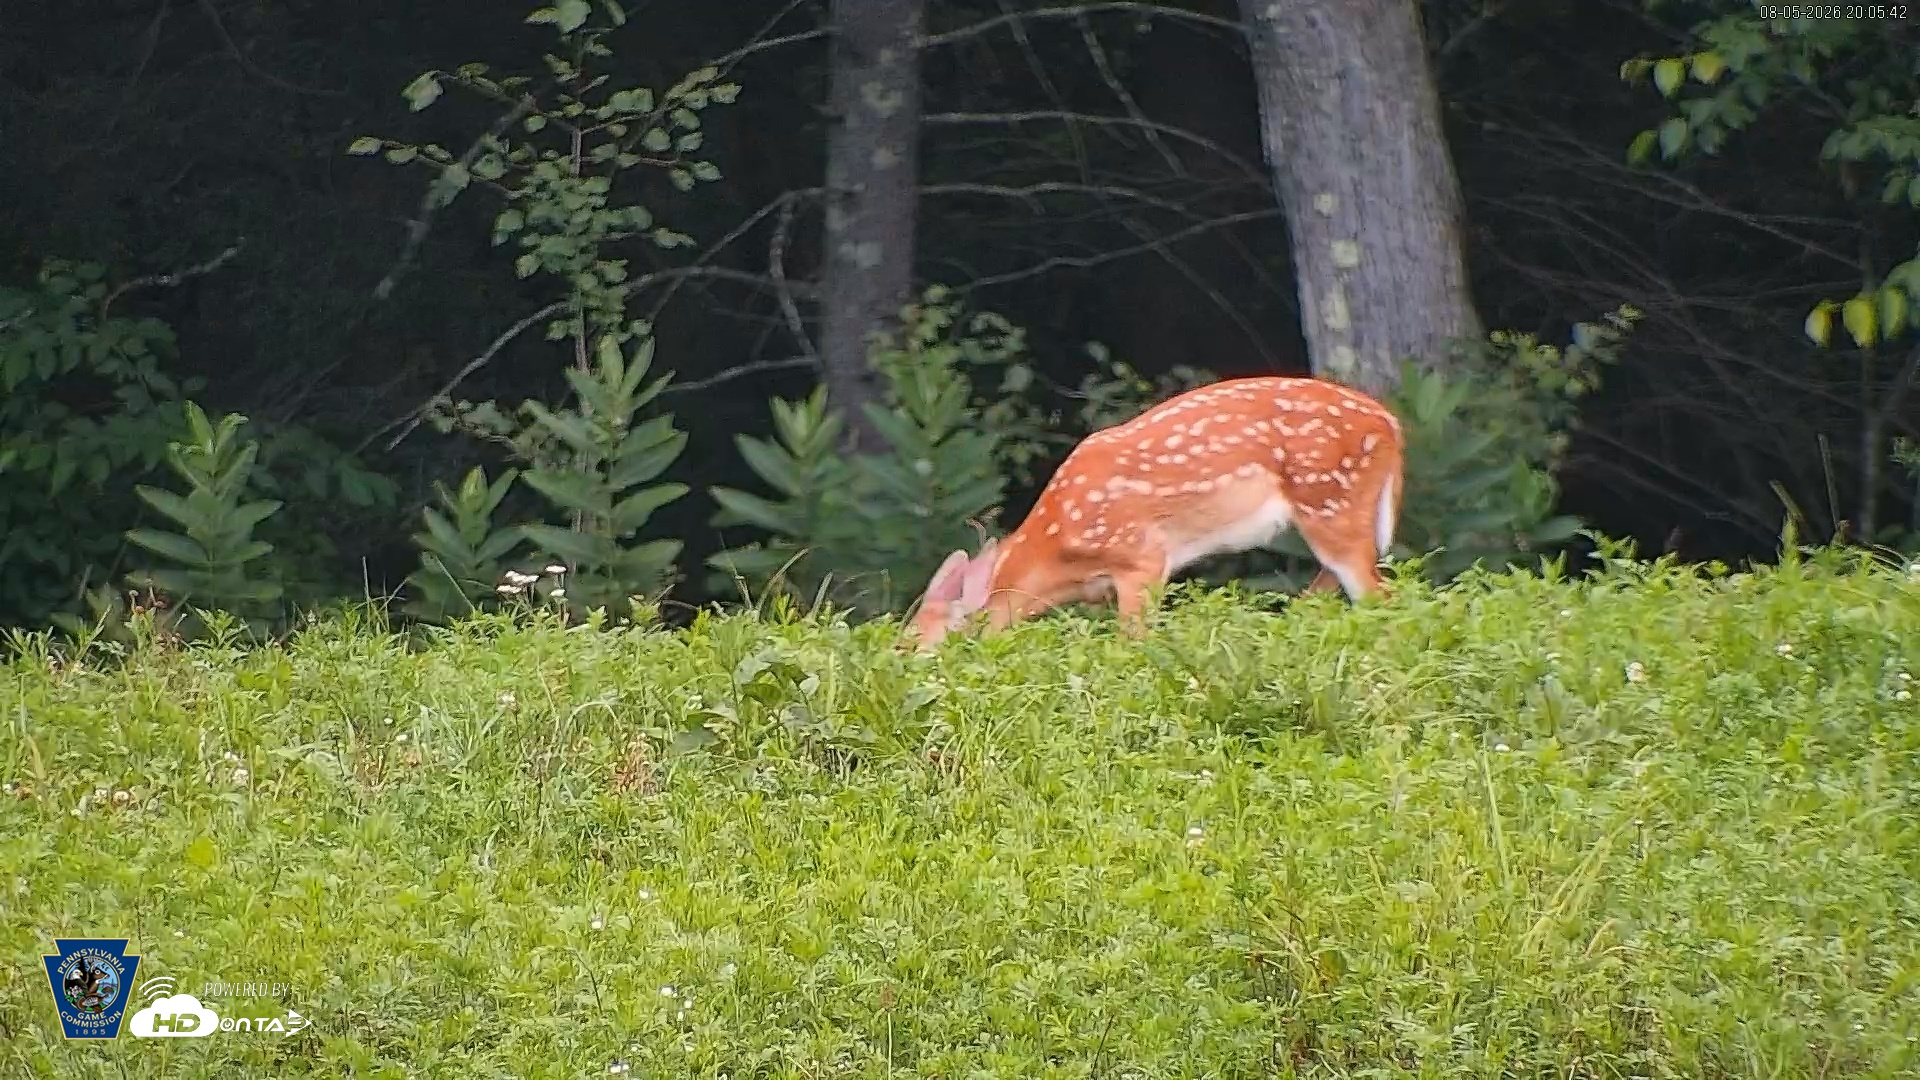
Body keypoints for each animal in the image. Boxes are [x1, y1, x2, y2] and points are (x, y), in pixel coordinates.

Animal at [906, 376, 1405, 649]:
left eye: (914, 642)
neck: (1059, 548)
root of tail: (1391, 424)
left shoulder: (1140, 556)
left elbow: (1134, 642)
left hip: (1331, 502)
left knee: (1379, 598)